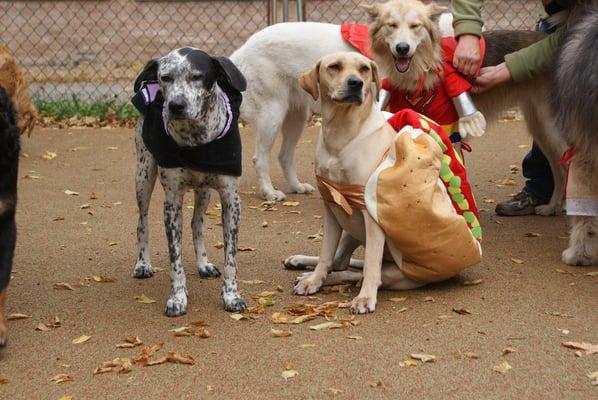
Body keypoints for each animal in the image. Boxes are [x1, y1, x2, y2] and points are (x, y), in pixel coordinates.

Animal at [133, 47, 248, 316]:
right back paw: (143, 263)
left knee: (197, 224)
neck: (196, 140)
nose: (176, 105)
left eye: (197, 76)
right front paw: (177, 298)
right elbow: (175, 261)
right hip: (143, 176)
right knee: (142, 223)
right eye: (165, 77)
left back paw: (203, 263)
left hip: (204, 191)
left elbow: (231, 258)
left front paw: (231, 295)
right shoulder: (172, 203)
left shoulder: (231, 201)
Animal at [292, 53, 424, 314]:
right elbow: (326, 253)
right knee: (340, 262)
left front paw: (364, 298)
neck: (340, 132)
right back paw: (303, 266)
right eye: (334, 67)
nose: (356, 83)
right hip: (350, 230)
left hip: (394, 271)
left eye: (364, 69)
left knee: (358, 272)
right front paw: (313, 280)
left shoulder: (370, 214)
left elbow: (371, 263)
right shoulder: (332, 206)